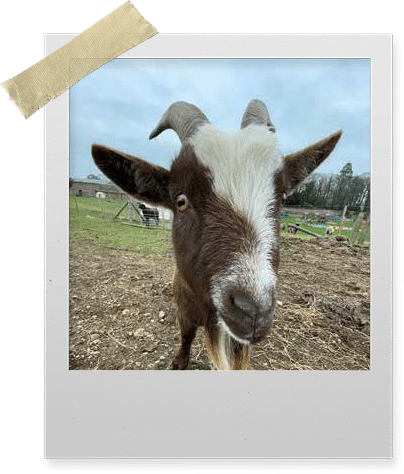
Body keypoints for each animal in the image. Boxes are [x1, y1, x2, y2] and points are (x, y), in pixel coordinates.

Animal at [90, 101, 340, 370]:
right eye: (181, 201)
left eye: (282, 198)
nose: (253, 312)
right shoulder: (184, 310)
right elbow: (186, 335)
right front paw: (179, 362)